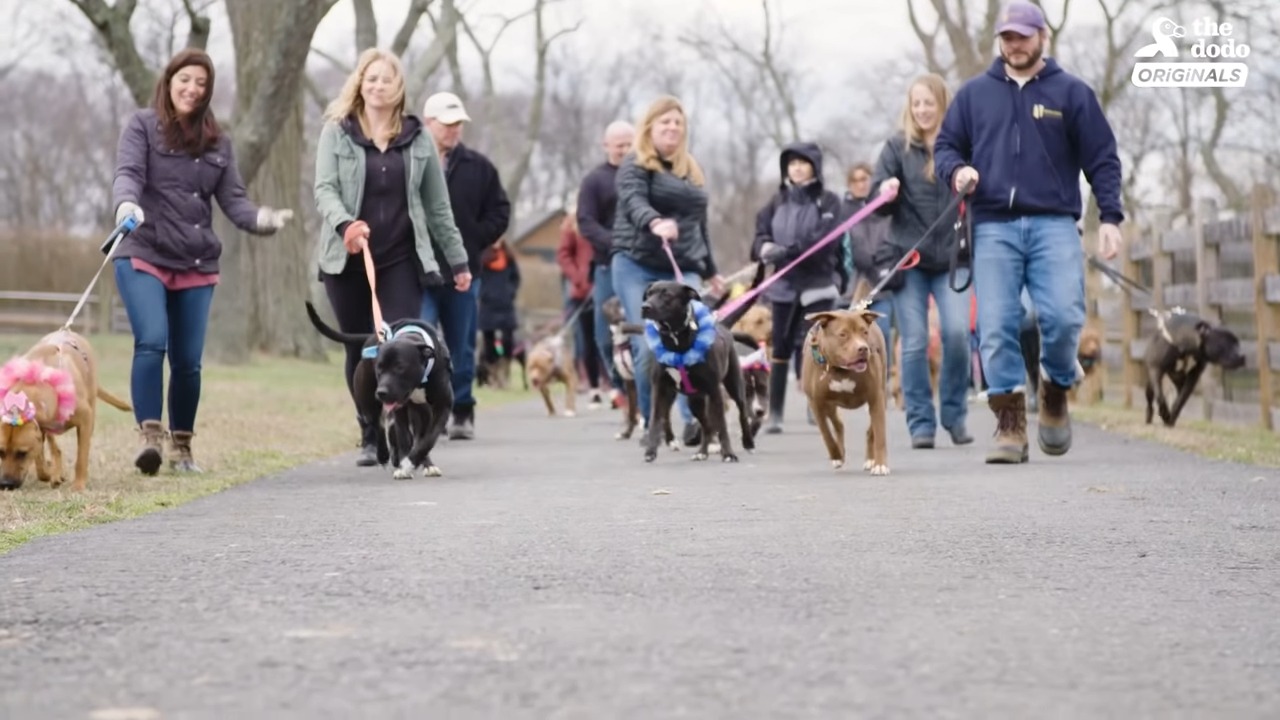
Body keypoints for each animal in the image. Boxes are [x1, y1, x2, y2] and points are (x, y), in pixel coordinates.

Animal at [0, 330, 131, 486]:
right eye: (0, 452)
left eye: (22, 453)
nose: (5, 484)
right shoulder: (41, 428)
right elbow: (41, 462)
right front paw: (49, 473)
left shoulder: (85, 420)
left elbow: (81, 456)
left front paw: (78, 485)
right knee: (55, 449)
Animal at [305, 301, 455, 476]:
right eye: (379, 368)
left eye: (400, 367)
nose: (381, 392)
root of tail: (372, 337)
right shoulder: (399, 410)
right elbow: (404, 437)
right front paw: (405, 465)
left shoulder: (442, 407)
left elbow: (428, 439)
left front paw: (414, 462)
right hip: (368, 402)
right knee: (378, 425)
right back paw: (384, 455)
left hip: (420, 411)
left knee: (414, 434)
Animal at [637, 278, 752, 461]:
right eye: (649, 294)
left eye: (667, 295)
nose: (645, 307)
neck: (676, 340)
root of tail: (722, 325)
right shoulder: (659, 388)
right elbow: (656, 419)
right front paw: (650, 451)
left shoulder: (715, 391)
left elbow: (722, 425)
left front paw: (728, 453)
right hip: (695, 401)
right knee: (706, 425)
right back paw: (702, 452)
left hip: (734, 385)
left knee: (741, 412)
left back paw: (748, 443)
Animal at [798, 307, 890, 471]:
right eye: (843, 334)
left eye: (864, 332)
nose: (863, 348)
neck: (840, 370)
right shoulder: (815, 403)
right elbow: (826, 433)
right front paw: (836, 456)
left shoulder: (876, 398)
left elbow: (879, 433)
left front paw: (880, 465)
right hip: (829, 405)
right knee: (838, 424)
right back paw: (840, 453)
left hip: (881, 395)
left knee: (870, 431)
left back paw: (870, 459)